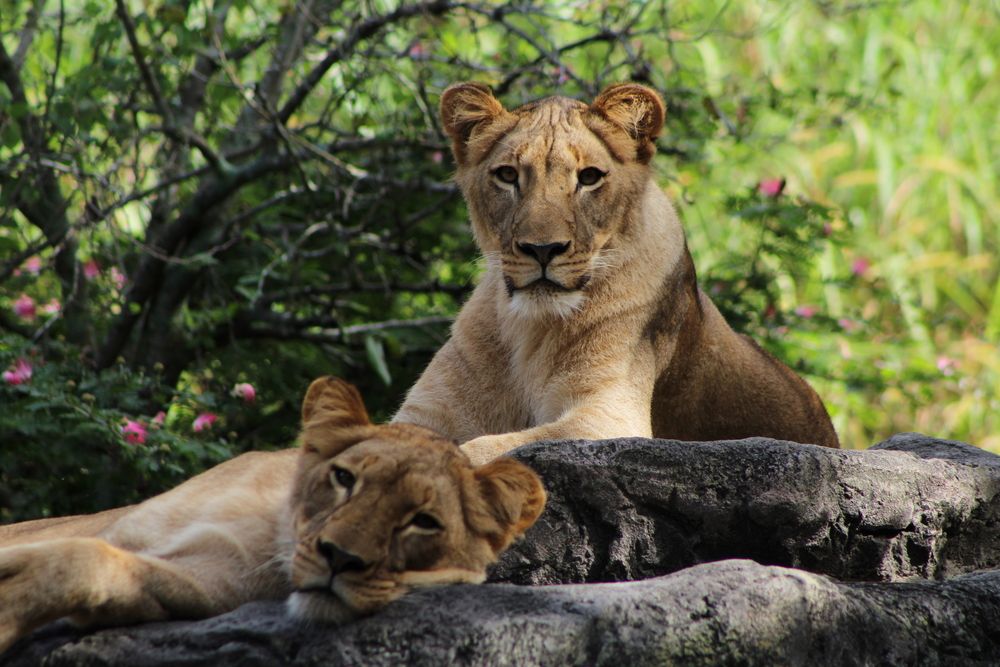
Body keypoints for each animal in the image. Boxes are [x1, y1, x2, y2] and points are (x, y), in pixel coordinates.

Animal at [0, 377, 545, 654]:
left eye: (424, 521)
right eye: (344, 478)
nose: (340, 558)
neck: (270, 529)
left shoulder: (200, 584)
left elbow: (88, 564)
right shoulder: (115, 525)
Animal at [393, 82, 839, 465]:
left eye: (589, 177)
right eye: (507, 175)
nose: (542, 249)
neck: (530, 326)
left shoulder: (609, 416)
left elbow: (477, 449)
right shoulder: (427, 412)